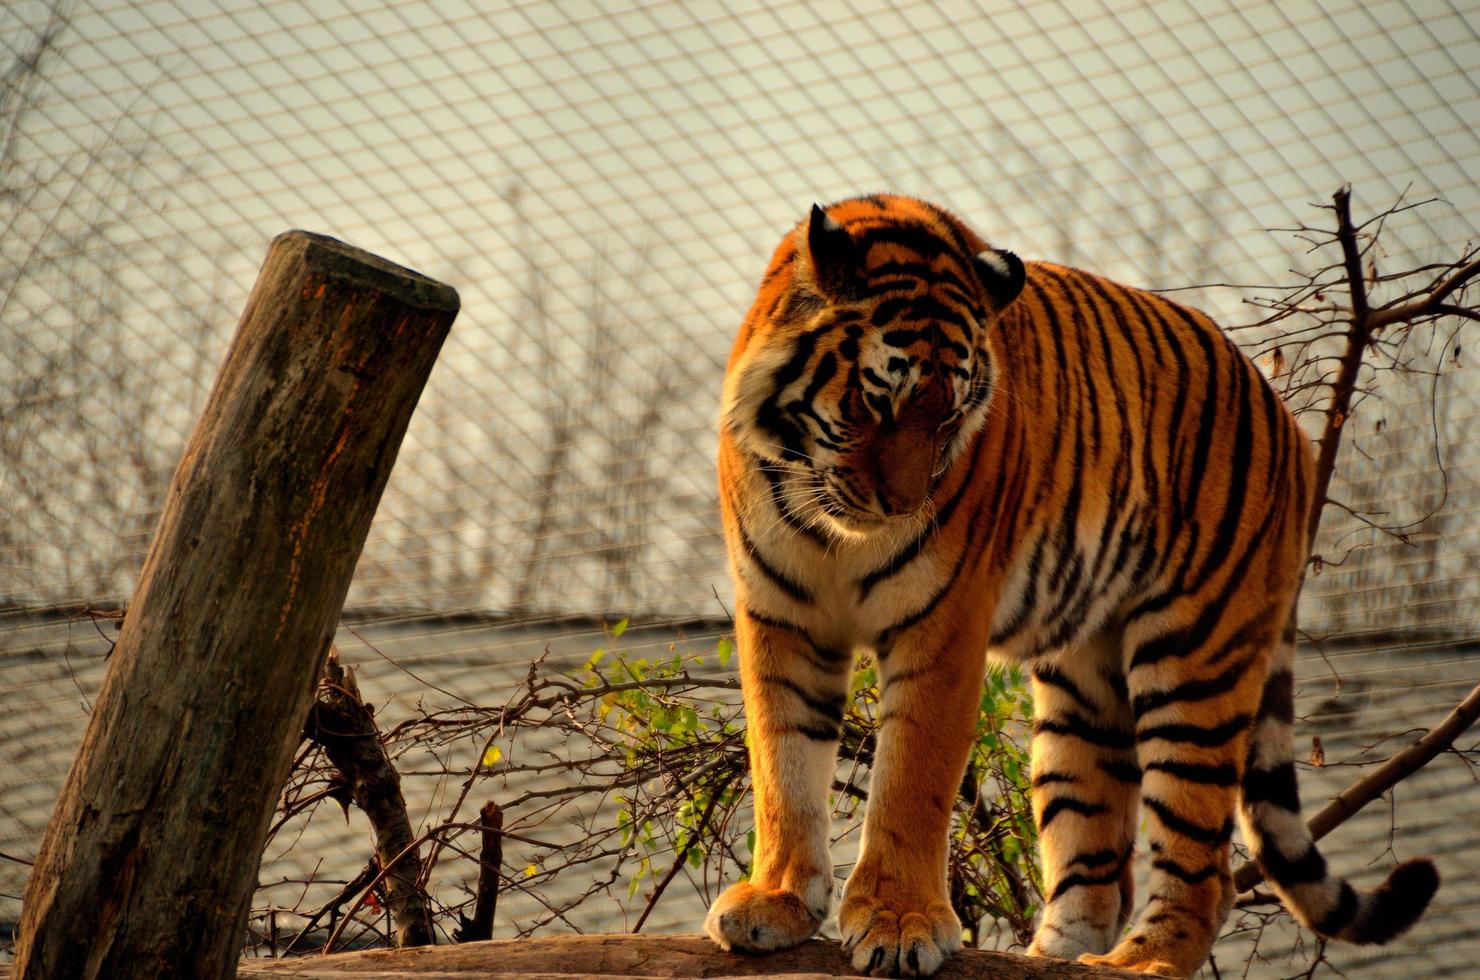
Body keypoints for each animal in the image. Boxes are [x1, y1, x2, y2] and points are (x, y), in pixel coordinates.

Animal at [698, 195, 1438, 977]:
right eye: (879, 405)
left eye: (950, 416)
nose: (901, 507)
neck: (825, 518)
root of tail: (1290, 427)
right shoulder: (784, 619)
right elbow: (783, 766)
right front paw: (776, 902)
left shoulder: (942, 626)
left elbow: (907, 783)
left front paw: (898, 922)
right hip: (1082, 693)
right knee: (1099, 864)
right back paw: (1048, 957)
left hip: (1194, 660)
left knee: (1204, 868)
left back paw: (1143, 962)